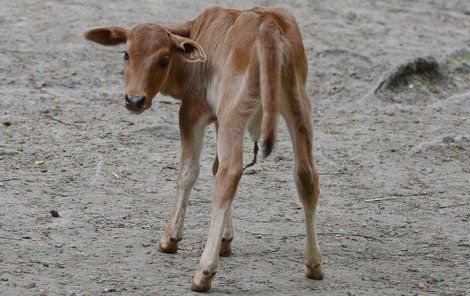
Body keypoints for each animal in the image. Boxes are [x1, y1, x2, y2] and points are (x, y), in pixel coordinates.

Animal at [83, 6, 324, 292]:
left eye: (164, 59)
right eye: (126, 53)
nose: (134, 100)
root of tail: (268, 23)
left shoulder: (192, 112)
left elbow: (188, 172)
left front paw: (171, 238)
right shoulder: (218, 119)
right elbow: (214, 166)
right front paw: (225, 241)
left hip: (234, 111)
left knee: (229, 175)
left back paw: (204, 272)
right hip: (299, 105)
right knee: (305, 176)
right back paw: (314, 263)